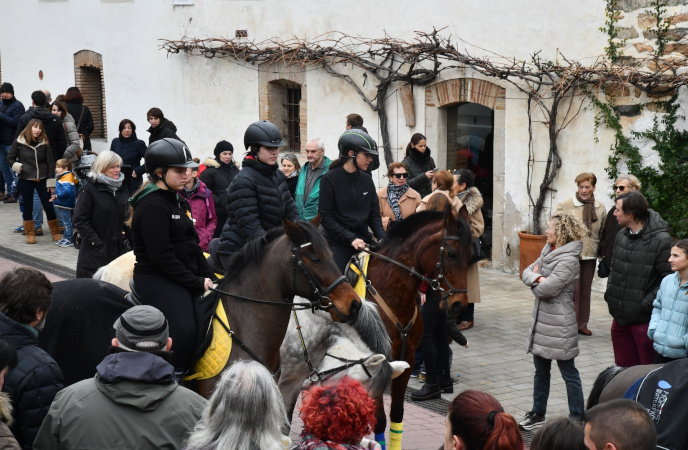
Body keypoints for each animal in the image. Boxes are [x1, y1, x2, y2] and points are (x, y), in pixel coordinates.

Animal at [358, 208, 470, 450]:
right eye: (452, 254)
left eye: (471, 255)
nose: (459, 305)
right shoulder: (379, 363)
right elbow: (380, 419)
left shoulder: (406, 360)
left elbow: (397, 414)